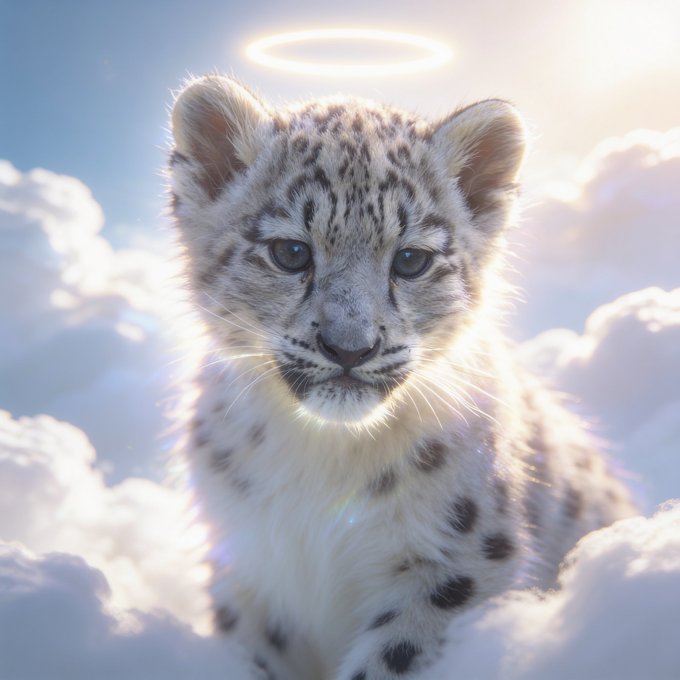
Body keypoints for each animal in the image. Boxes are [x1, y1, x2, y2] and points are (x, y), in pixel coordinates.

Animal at [167, 75, 636, 679]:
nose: (350, 347)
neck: (322, 457)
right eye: (290, 252)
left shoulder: (455, 568)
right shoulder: (248, 569)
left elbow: (393, 657)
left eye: (411, 260)